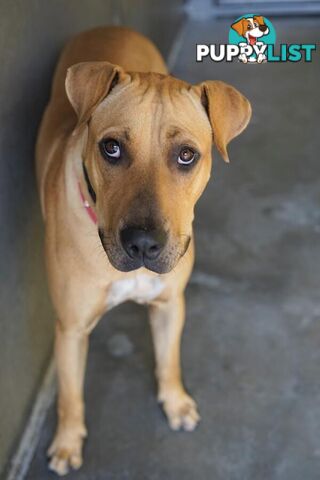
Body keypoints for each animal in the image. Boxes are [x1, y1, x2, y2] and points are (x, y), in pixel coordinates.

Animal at [36, 27, 251, 476]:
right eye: (111, 148)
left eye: (186, 155)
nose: (143, 244)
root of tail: (109, 27)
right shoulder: (70, 328)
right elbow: (70, 394)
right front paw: (67, 442)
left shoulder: (170, 303)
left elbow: (169, 359)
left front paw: (175, 402)